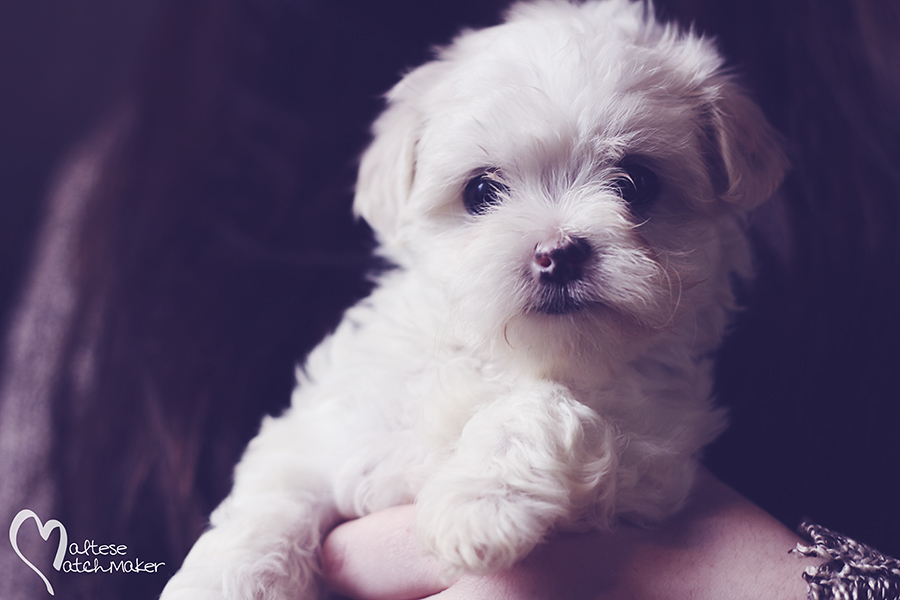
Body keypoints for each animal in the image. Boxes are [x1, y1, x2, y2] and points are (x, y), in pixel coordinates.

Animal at [162, 2, 788, 596]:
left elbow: (540, 406)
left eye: (636, 183)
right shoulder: (326, 430)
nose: (558, 253)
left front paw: (478, 504)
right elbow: (273, 498)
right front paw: (226, 580)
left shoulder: (652, 450)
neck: (505, 358)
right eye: (481, 191)